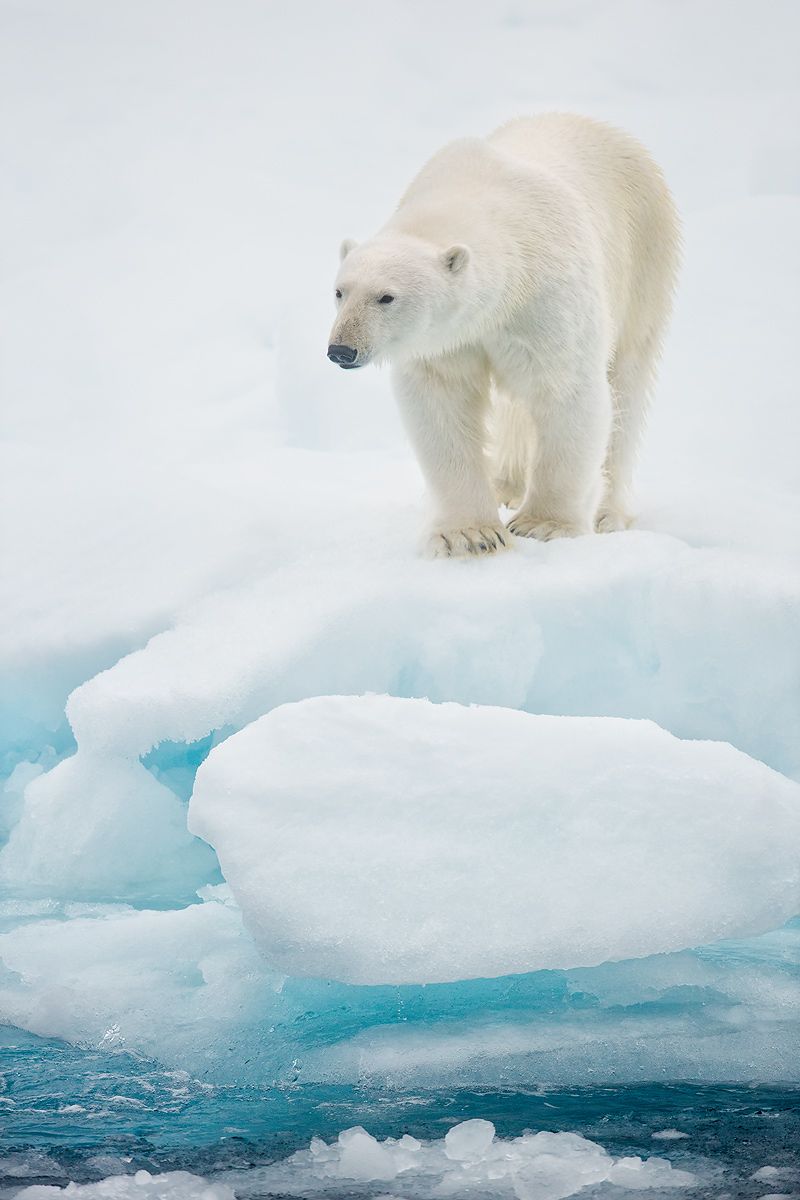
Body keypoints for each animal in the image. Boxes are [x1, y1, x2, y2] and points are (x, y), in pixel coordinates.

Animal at [328, 113, 680, 557]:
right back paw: (506, 485)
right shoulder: (449, 341)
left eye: (386, 297)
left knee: (628, 383)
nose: (341, 350)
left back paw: (606, 513)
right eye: (339, 292)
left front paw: (544, 525)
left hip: (644, 259)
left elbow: (567, 390)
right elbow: (441, 403)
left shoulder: (545, 297)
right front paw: (469, 534)